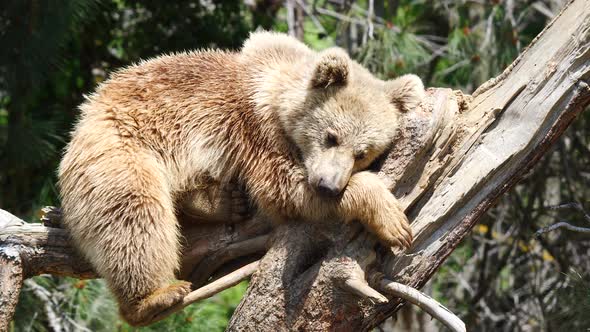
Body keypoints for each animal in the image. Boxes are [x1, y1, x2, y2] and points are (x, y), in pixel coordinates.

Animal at [59, 30, 426, 324]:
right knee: (131, 211)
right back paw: (154, 297)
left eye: (363, 152)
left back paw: (218, 203)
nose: (329, 186)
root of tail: (85, 114)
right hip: (120, 146)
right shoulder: (255, 133)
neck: (274, 94)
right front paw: (393, 220)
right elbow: (283, 189)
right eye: (331, 136)